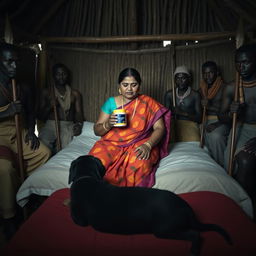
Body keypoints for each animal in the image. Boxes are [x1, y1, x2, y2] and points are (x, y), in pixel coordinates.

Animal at [68, 155, 232, 255]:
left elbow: (75, 217)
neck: (86, 177)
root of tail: (186, 207)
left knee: (195, 234)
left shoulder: (80, 219)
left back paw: (194, 250)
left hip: (164, 229)